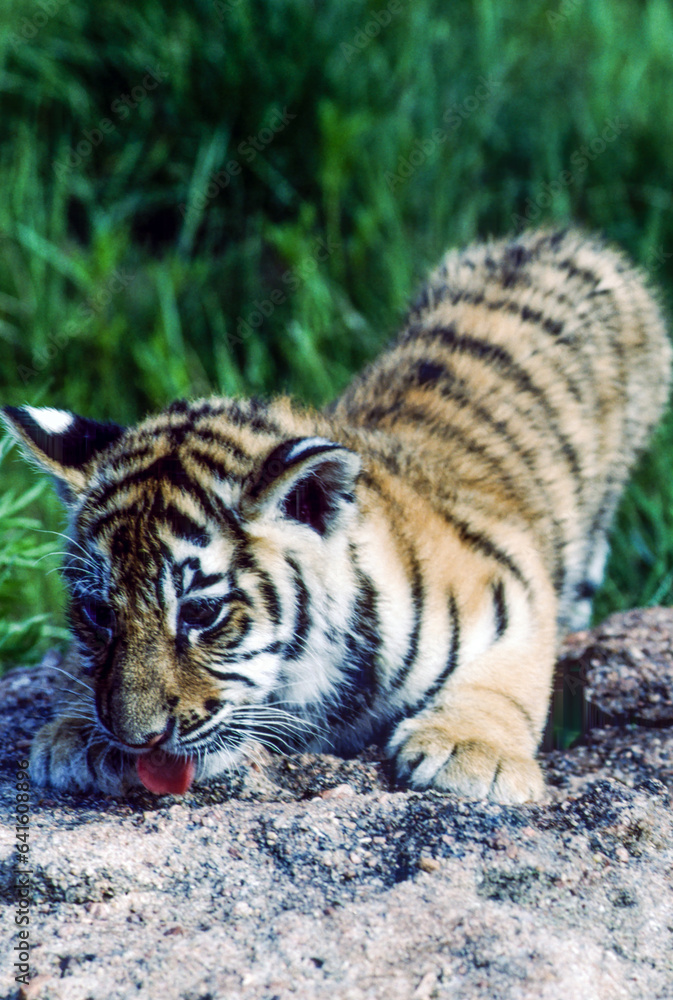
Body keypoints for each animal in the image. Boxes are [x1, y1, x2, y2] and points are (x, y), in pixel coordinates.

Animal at [3, 228, 670, 803]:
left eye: (200, 614)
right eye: (97, 612)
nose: (136, 738)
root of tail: (553, 238)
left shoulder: (513, 584)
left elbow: (507, 677)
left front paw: (470, 753)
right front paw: (77, 736)